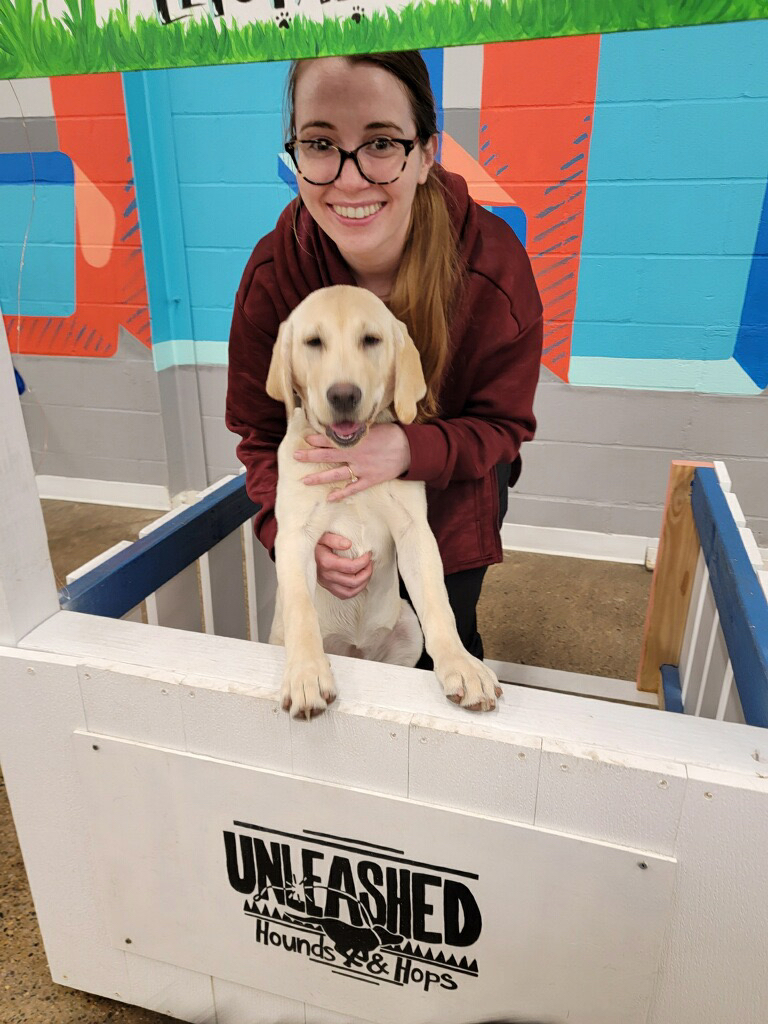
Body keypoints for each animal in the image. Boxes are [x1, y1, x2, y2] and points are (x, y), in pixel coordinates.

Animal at [268, 286, 501, 720]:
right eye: (313, 342)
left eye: (371, 340)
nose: (344, 395)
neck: (349, 462)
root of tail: (358, 650)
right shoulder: (294, 536)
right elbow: (301, 610)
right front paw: (307, 674)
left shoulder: (415, 533)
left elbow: (439, 605)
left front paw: (463, 667)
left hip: (407, 626)